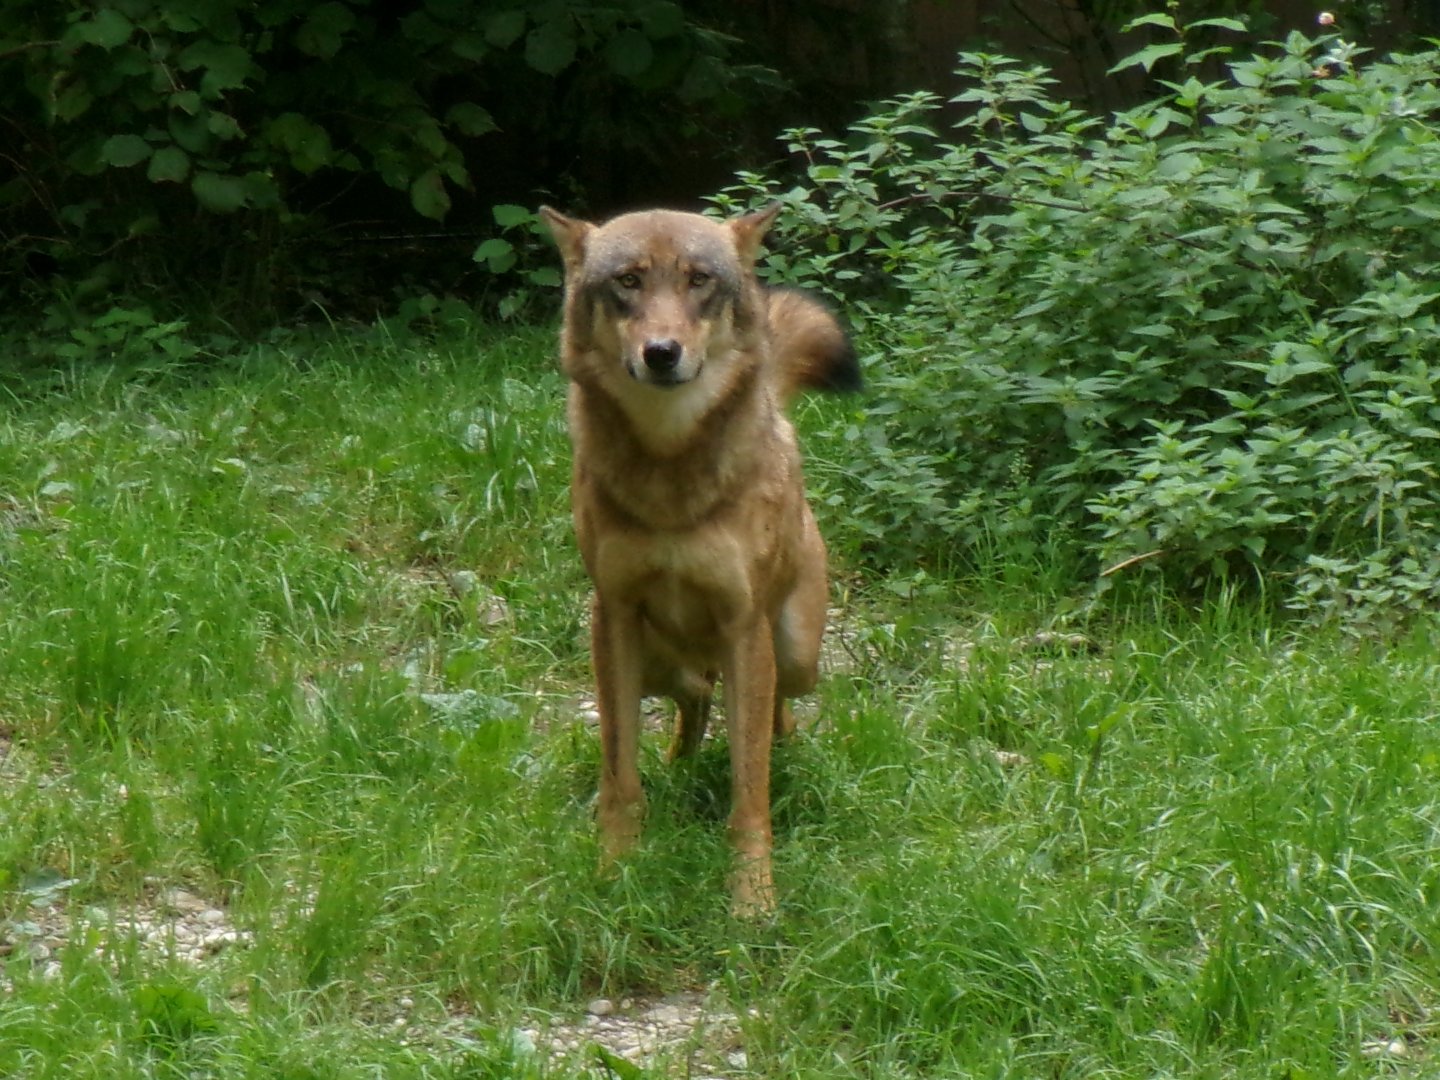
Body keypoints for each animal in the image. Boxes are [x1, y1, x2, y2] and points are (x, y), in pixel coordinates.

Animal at [539, 204, 860, 915]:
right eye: (628, 281)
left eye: (698, 280)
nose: (661, 353)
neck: (669, 472)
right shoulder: (615, 614)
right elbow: (619, 774)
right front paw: (615, 871)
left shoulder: (744, 624)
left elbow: (748, 788)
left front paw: (753, 901)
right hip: (649, 658)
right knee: (696, 697)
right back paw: (678, 763)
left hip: (795, 652)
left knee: (772, 707)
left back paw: (783, 750)